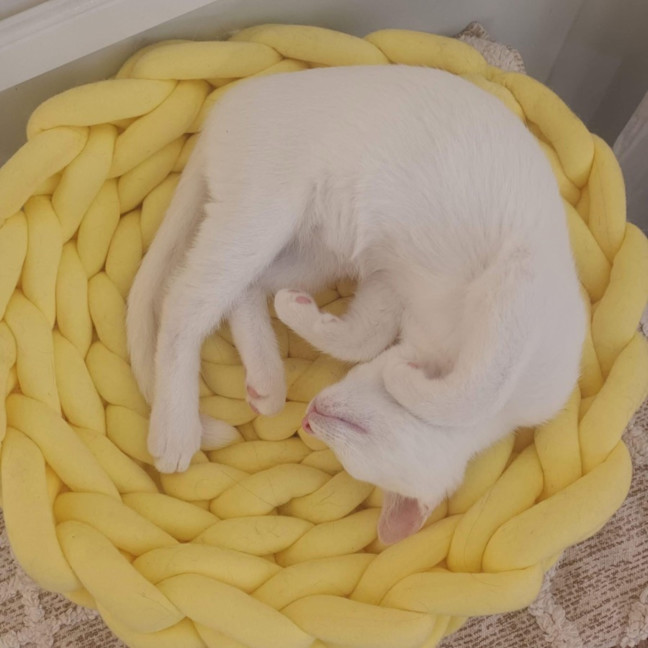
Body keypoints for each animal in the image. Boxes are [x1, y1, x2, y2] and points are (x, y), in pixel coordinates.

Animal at [126, 64, 586, 544]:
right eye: (356, 430)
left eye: (351, 444)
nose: (309, 418)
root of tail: (227, 105)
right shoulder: (518, 286)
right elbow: (469, 393)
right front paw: (406, 379)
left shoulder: (389, 284)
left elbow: (364, 339)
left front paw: (304, 315)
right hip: (262, 215)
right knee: (183, 302)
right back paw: (177, 427)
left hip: (322, 250)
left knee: (247, 288)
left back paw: (266, 377)